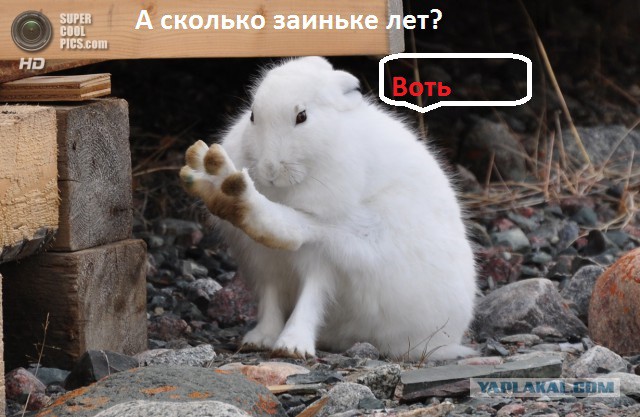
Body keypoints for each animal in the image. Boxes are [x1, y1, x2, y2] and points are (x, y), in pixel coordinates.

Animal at [180, 56, 477, 360]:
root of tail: (451, 337)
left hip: (365, 236)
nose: (269, 169)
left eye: (302, 116)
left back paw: (231, 192)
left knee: (302, 230)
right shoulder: (267, 264)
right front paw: (260, 339)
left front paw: (292, 347)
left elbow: (312, 295)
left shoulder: (323, 259)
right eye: (252, 116)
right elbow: (271, 300)